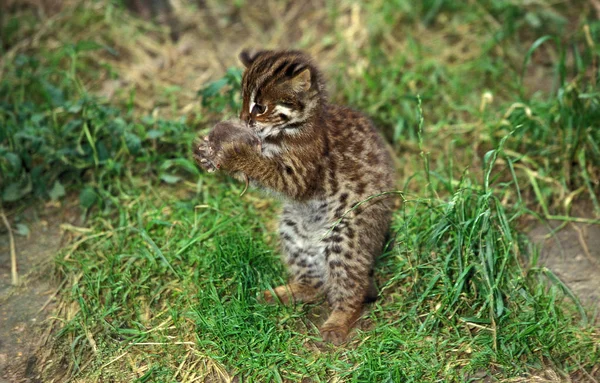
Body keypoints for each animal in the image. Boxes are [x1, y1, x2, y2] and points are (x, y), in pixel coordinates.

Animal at [195, 50, 396, 344]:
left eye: (259, 107)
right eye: (242, 101)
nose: (243, 120)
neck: (291, 128)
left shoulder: (299, 177)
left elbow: (265, 169)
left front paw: (234, 154)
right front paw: (210, 152)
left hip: (345, 235)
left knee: (352, 289)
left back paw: (338, 322)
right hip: (293, 231)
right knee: (315, 285)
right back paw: (285, 292)